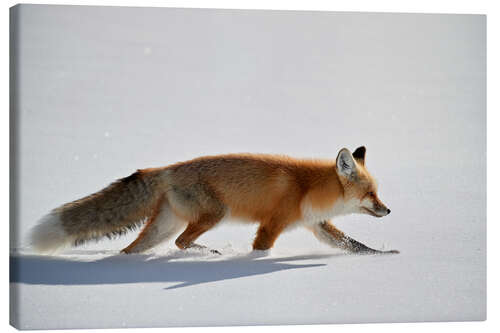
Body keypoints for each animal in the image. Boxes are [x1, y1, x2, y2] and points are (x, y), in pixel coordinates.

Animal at [30, 145, 398, 254]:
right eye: (371, 194)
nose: (388, 209)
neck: (307, 189)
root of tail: (164, 169)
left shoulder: (317, 224)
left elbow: (354, 245)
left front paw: (384, 256)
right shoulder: (272, 225)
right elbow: (261, 250)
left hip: (163, 227)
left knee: (133, 249)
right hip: (214, 214)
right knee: (181, 242)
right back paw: (206, 253)